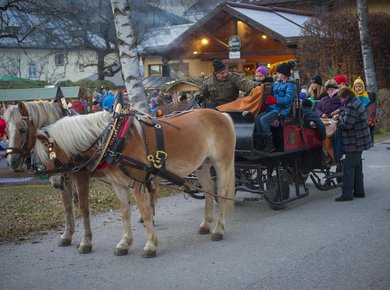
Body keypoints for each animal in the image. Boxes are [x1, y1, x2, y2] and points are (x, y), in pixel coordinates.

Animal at [3, 102, 98, 254]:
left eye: (22, 130)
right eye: (6, 129)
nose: (12, 161)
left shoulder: (81, 178)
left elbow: (83, 208)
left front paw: (86, 241)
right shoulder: (63, 180)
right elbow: (67, 207)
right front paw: (67, 235)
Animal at [33, 109, 235, 258]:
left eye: (50, 156)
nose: (56, 183)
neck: (113, 141)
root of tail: (221, 114)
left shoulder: (137, 184)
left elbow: (145, 213)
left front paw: (151, 245)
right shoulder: (118, 185)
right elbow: (125, 213)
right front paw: (125, 243)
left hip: (222, 163)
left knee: (222, 193)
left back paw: (218, 229)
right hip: (203, 165)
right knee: (208, 191)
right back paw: (206, 224)